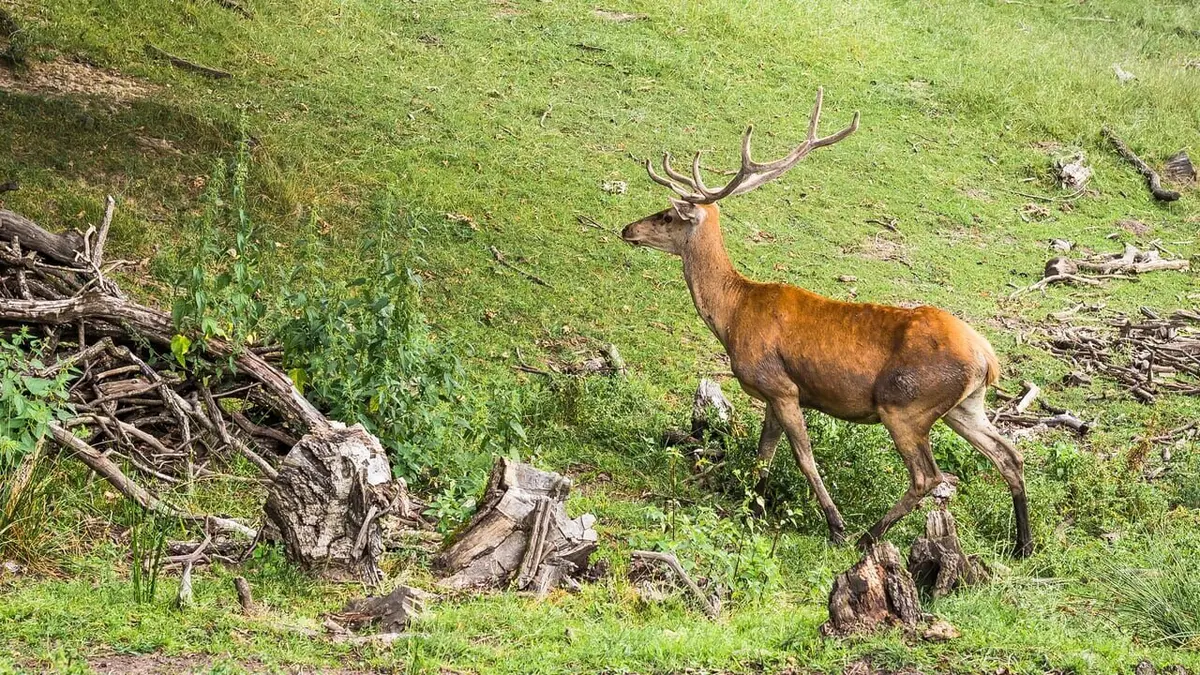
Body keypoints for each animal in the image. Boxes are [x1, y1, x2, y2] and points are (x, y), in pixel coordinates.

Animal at [620, 88, 1033, 557]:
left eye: (666, 216)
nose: (627, 229)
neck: (733, 315)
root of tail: (989, 359)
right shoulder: (773, 393)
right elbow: (764, 454)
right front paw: (749, 506)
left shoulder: (780, 385)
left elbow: (803, 457)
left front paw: (834, 525)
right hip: (965, 406)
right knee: (1009, 455)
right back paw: (1023, 544)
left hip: (905, 405)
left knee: (928, 475)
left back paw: (869, 535)